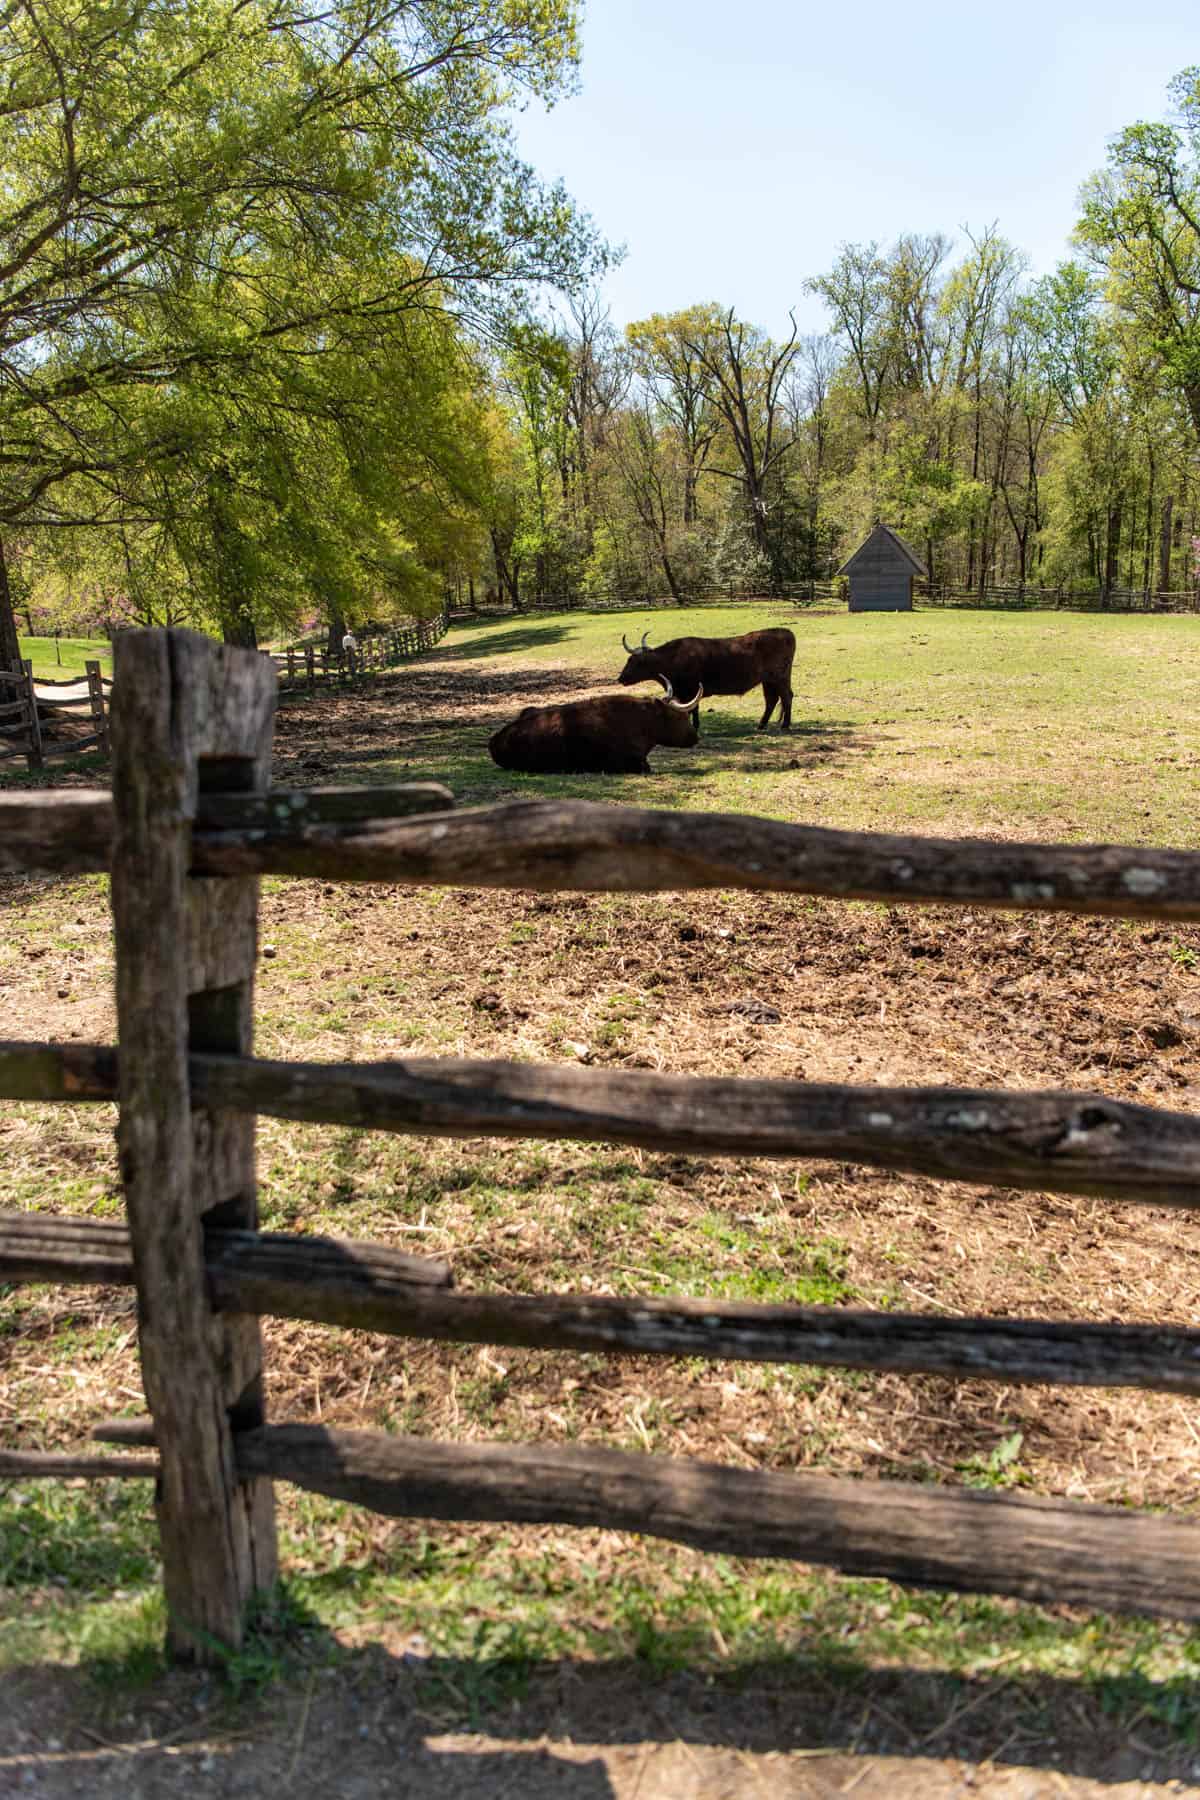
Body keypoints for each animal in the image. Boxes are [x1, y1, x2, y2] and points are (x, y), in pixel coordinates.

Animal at [617, 626, 796, 732]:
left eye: (634, 662)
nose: (621, 678)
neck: (673, 658)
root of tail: (785, 632)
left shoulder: (691, 690)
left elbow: (692, 708)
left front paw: (694, 727)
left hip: (780, 678)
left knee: (786, 697)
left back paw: (785, 725)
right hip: (769, 681)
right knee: (771, 700)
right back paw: (761, 725)